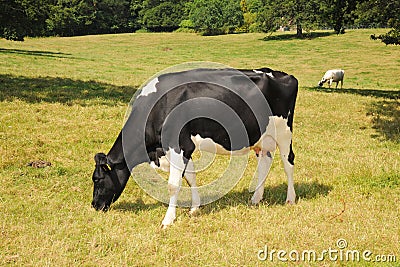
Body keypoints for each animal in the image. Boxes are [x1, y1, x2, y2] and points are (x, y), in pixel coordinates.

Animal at [90, 67, 296, 228]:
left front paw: (168, 220)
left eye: (97, 180)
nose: (94, 205)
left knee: (288, 163)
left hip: (284, 133)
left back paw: (290, 199)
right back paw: (256, 199)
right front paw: (195, 208)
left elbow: (174, 185)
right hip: (263, 138)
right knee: (265, 162)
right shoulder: (181, 148)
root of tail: (283, 74)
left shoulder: (179, 145)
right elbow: (190, 176)